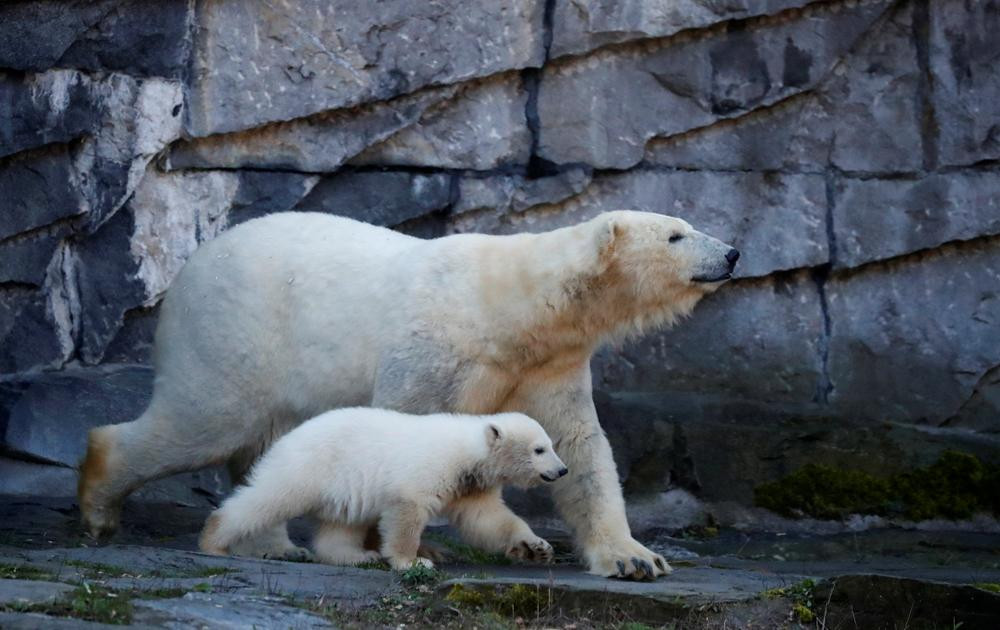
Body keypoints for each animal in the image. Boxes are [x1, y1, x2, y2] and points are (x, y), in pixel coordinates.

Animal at [199, 410, 568, 572]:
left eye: (551, 445)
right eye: (539, 449)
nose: (562, 470)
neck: (467, 451)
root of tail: (287, 436)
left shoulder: (470, 484)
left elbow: (488, 519)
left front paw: (537, 547)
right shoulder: (430, 467)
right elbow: (408, 509)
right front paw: (413, 561)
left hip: (342, 488)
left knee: (341, 524)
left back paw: (356, 555)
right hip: (310, 464)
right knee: (270, 498)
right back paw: (214, 541)